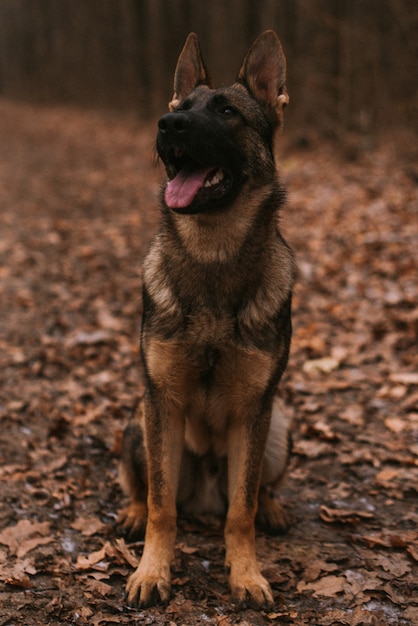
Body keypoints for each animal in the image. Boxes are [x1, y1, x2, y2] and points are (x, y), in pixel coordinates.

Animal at [117, 30, 296, 608]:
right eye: (180, 106)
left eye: (226, 111)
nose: (167, 124)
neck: (213, 256)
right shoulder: (162, 402)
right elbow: (161, 506)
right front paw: (152, 571)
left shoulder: (255, 412)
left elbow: (241, 512)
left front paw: (246, 574)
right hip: (137, 423)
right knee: (148, 489)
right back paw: (131, 512)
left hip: (277, 429)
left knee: (255, 489)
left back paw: (273, 507)